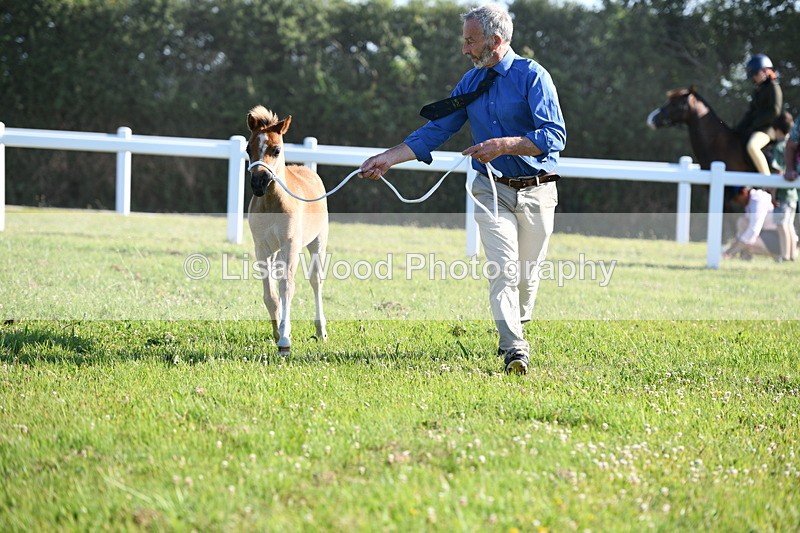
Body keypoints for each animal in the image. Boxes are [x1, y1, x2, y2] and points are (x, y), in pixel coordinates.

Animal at [246, 105, 328, 353]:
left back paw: (320, 330)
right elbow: (271, 295)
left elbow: (287, 289)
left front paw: (284, 340)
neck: (273, 203)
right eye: (247, 149)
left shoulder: (290, 244)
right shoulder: (262, 248)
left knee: (315, 281)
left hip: (317, 243)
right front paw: (278, 333)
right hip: (276, 252)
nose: (258, 184)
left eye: (276, 150)